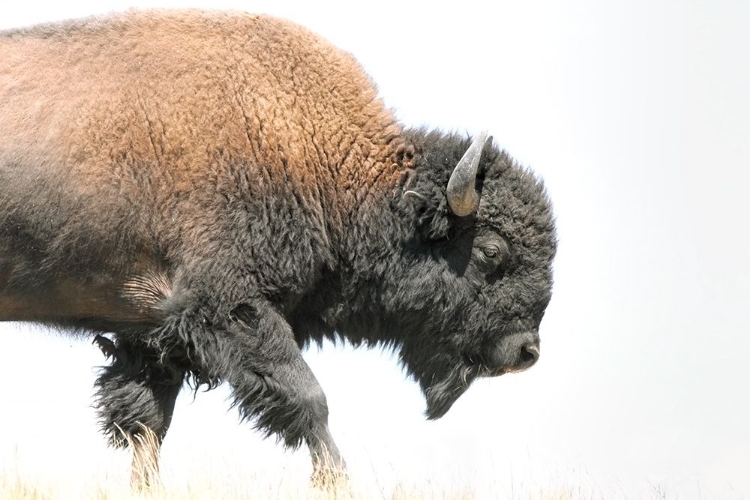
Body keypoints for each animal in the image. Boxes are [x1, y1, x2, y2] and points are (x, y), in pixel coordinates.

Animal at [0, 8, 560, 488]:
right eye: (490, 251)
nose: (526, 351)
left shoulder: (151, 333)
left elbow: (147, 427)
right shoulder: (232, 308)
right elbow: (308, 398)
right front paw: (336, 480)